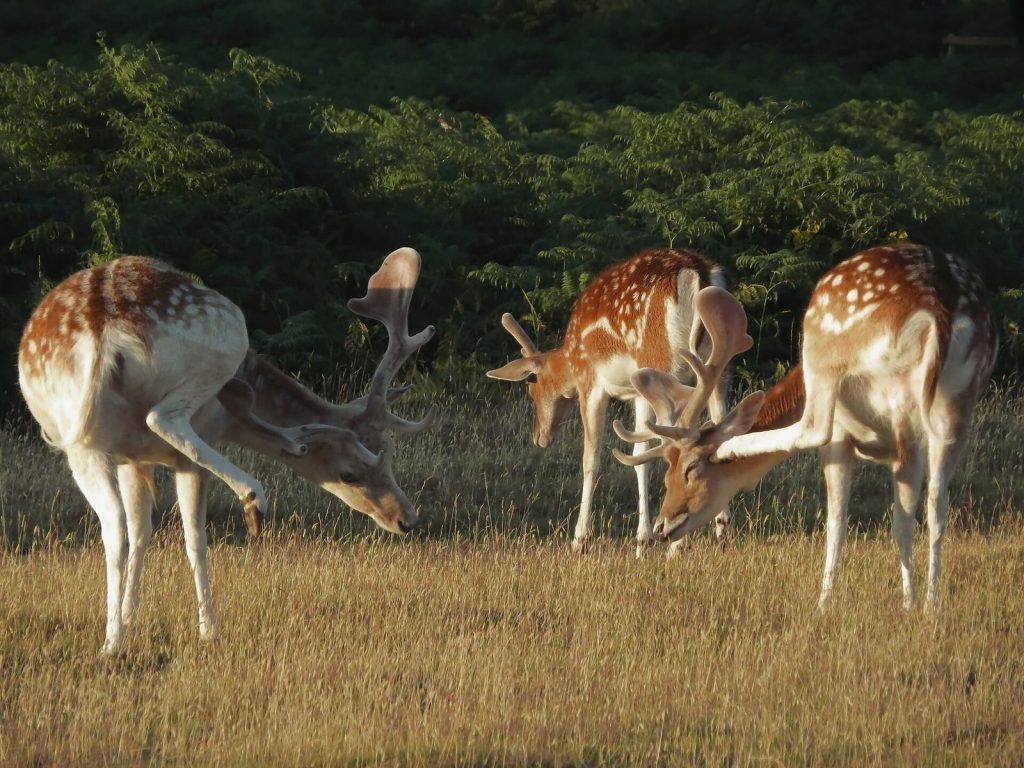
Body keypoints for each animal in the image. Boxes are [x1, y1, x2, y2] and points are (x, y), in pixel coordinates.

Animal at [17, 247, 436, 655]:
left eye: (389, 460)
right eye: (351, 473)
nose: (407, 519)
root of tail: (104, 337)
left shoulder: (130, 458)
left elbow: (141, 531)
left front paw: (129, 618)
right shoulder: (193, 450)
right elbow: (193, 538)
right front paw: (208, 631)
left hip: (82, 444)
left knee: (113, 526)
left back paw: (111, 643)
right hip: (228, 337)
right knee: (164, 419)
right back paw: (255, 496)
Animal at [486, 247, 734, 557]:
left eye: (532, 387)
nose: (539, 436)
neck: (570, 358)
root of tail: (697, 273)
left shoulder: (591, 383)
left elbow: (592, 459)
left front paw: (584, 540)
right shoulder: (635, 392)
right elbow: (638, 454)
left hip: (660, 362)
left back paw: (676, 545)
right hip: (718, 366)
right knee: (720, 426)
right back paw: (721, 530)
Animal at [614, 243, 998, 610]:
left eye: (690, 470)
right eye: (667, 475)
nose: (663, 526)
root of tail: (941, 303)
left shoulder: (840, 440)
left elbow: (837, 522)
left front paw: (824, 603)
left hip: (838, 364)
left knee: (816, 429)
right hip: (957, 402)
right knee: (935, 509)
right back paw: (930, 604)